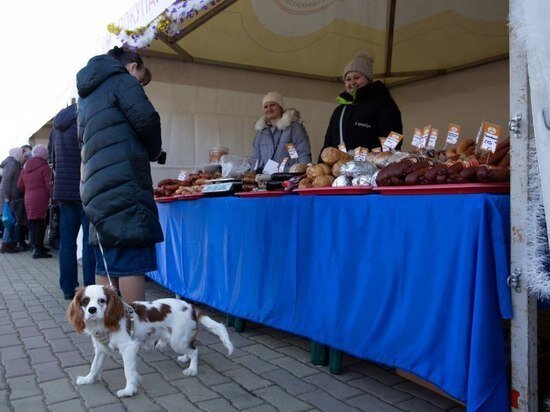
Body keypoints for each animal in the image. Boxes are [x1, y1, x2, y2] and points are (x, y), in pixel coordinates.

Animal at [67, 284, 235, 398]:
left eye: (102, 301)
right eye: (85, 301)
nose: (92, 310)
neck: (103, 324)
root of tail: (191, 306)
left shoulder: (128, 348)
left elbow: (128, 371)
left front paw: (129, 390)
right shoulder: (101, 348)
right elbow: (95, 366)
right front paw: (88, 379)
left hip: (177, 341)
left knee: (195, 350)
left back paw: (192, 369)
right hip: (179, 340)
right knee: (190, 348)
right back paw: (184, 358)